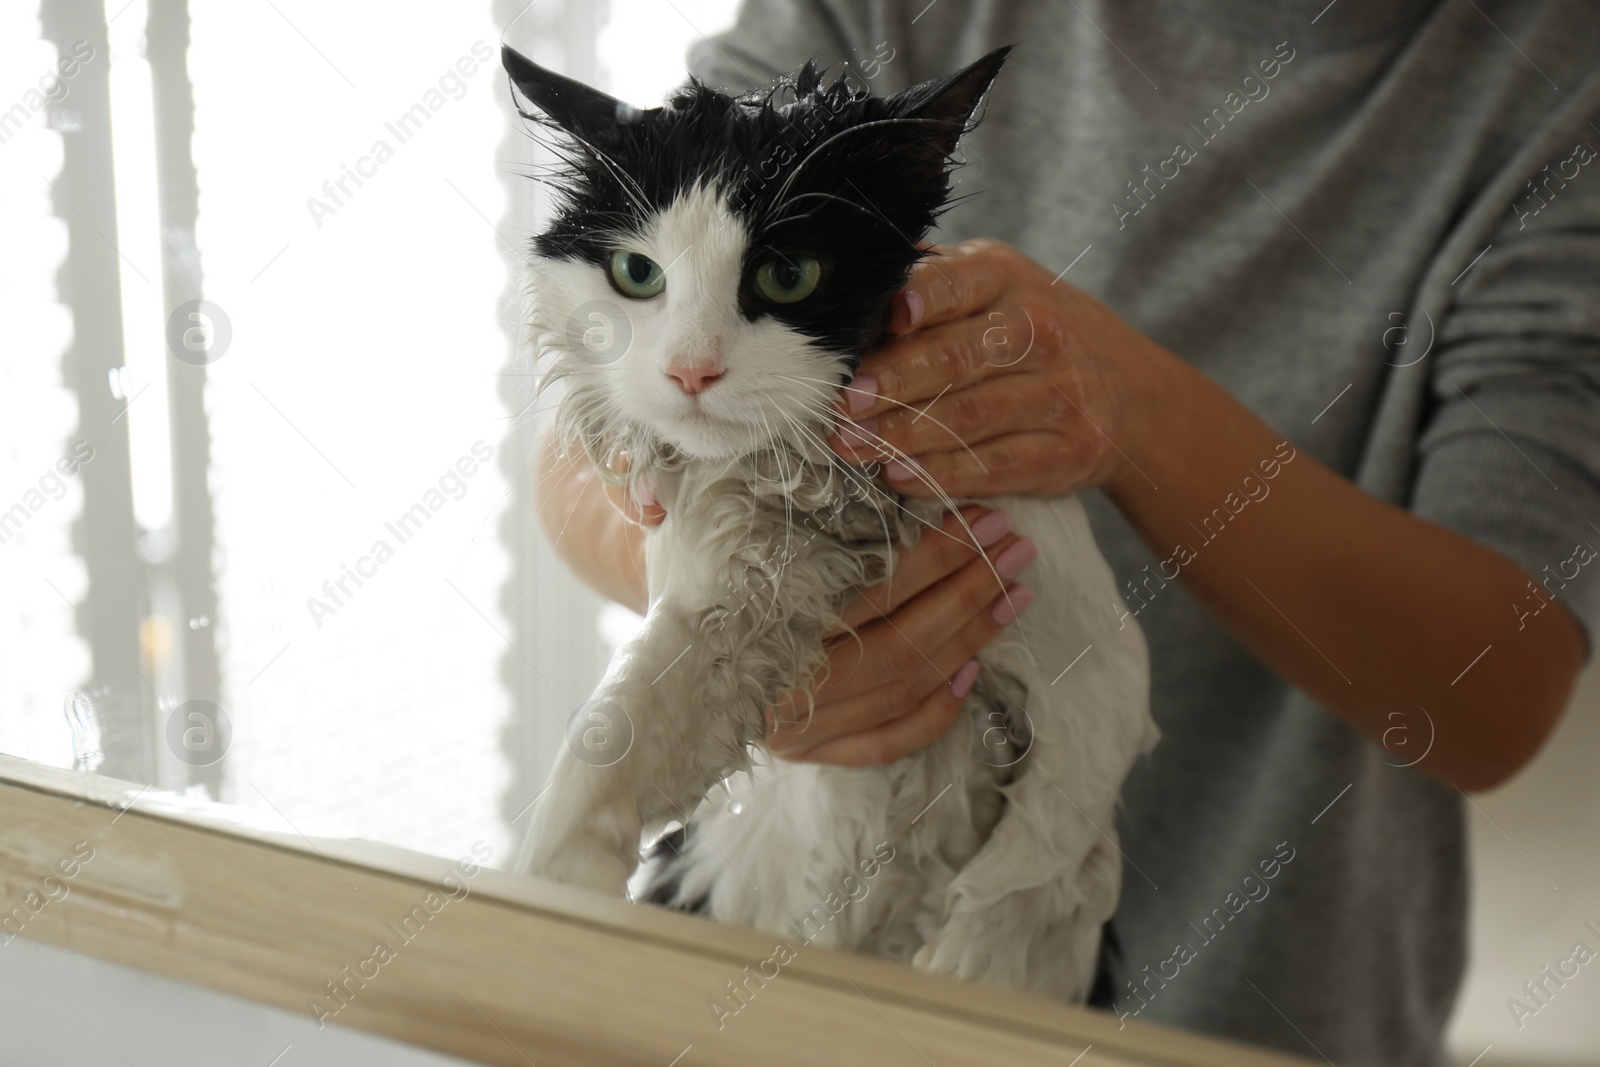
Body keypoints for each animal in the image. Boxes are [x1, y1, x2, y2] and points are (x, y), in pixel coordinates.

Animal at [505, 43, 1158, 1011]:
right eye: (637, 274)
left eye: (788, 276)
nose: (691, 370)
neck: (830, 505)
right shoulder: (718, 611)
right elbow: (602, 740)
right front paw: (552, 905)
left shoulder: (1100, 667)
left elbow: (1036, 866)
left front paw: (965, 975)